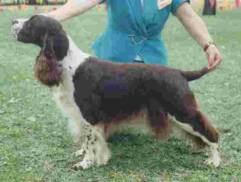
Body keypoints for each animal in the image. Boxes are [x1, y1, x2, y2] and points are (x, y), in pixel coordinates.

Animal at [11, 15, 222, 169]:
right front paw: (83, 154)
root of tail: (180, 73)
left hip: (181, 110)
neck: (69, 65)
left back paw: (215, 160)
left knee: (211, 133)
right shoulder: (81, 114)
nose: (13, 21)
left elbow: (90, 141)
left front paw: (85, 163)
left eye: (31, 22)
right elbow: (88, 140)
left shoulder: (90, 115)